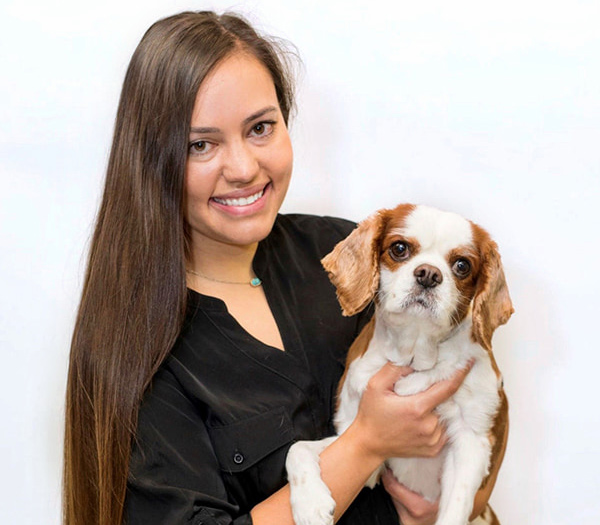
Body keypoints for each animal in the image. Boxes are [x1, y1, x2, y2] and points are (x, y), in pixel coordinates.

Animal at [286, 204, 510, 524]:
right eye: (399, 248)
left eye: (462, 265)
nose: (428, 274)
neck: (414, 356)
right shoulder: (355, 436)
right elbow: (297, 448)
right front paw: (309, 504)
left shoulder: (472, 442)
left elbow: (453, 511)